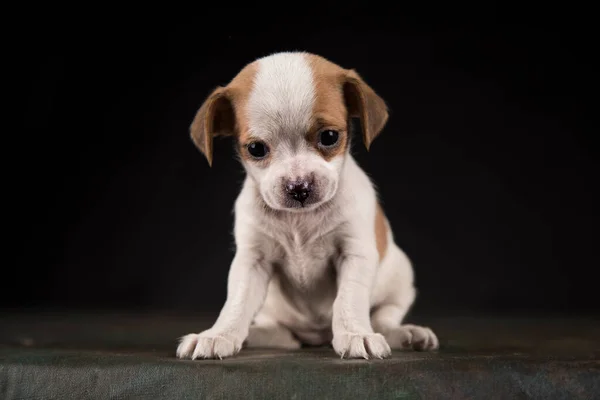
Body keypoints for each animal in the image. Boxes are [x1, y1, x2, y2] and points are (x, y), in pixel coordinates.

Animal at [176, 50, 438, 360]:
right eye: (256, 149)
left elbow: (348, 299)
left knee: (384, 319)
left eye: (329, 137)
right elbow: (236, 304)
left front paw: (355, 333)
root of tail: (315, 337)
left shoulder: (355, 253)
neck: (299, 221)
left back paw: (406, 334)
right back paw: (254, 336)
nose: (298, 187)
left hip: (400, 278)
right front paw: (218, 334)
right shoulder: (252, 262)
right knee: (277, 333)